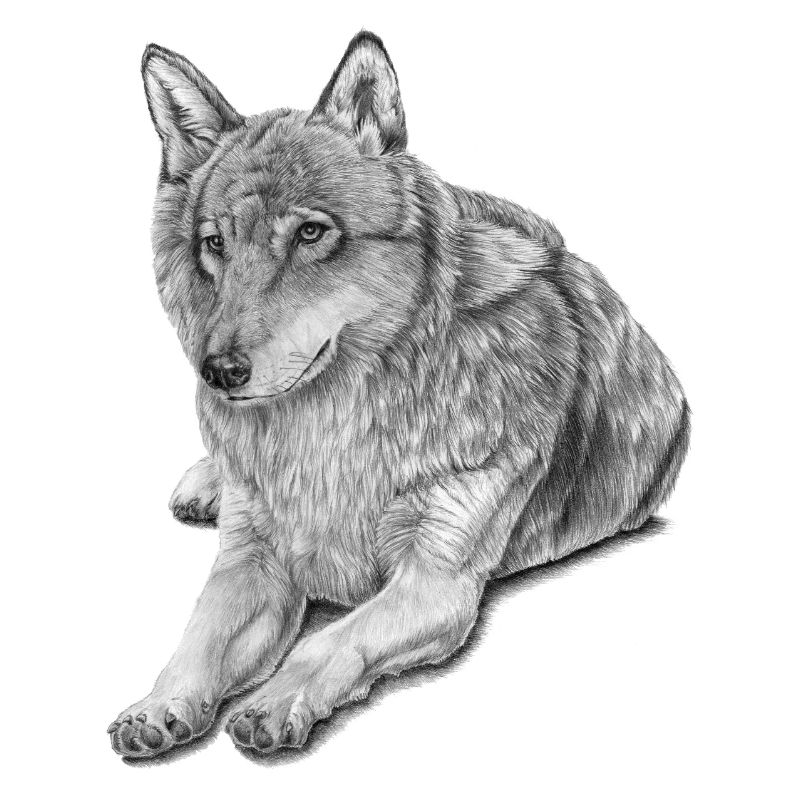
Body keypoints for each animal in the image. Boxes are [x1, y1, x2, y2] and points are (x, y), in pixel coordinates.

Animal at [108, 31, 689, 759]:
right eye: (215, 243)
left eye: (311, 233)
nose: (220, 372)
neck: (331, 430)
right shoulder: (252, 561)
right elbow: (197, 639)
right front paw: (157, 705)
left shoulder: (436, 583)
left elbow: (330, 639)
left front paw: (273, 702)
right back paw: (204, 482)